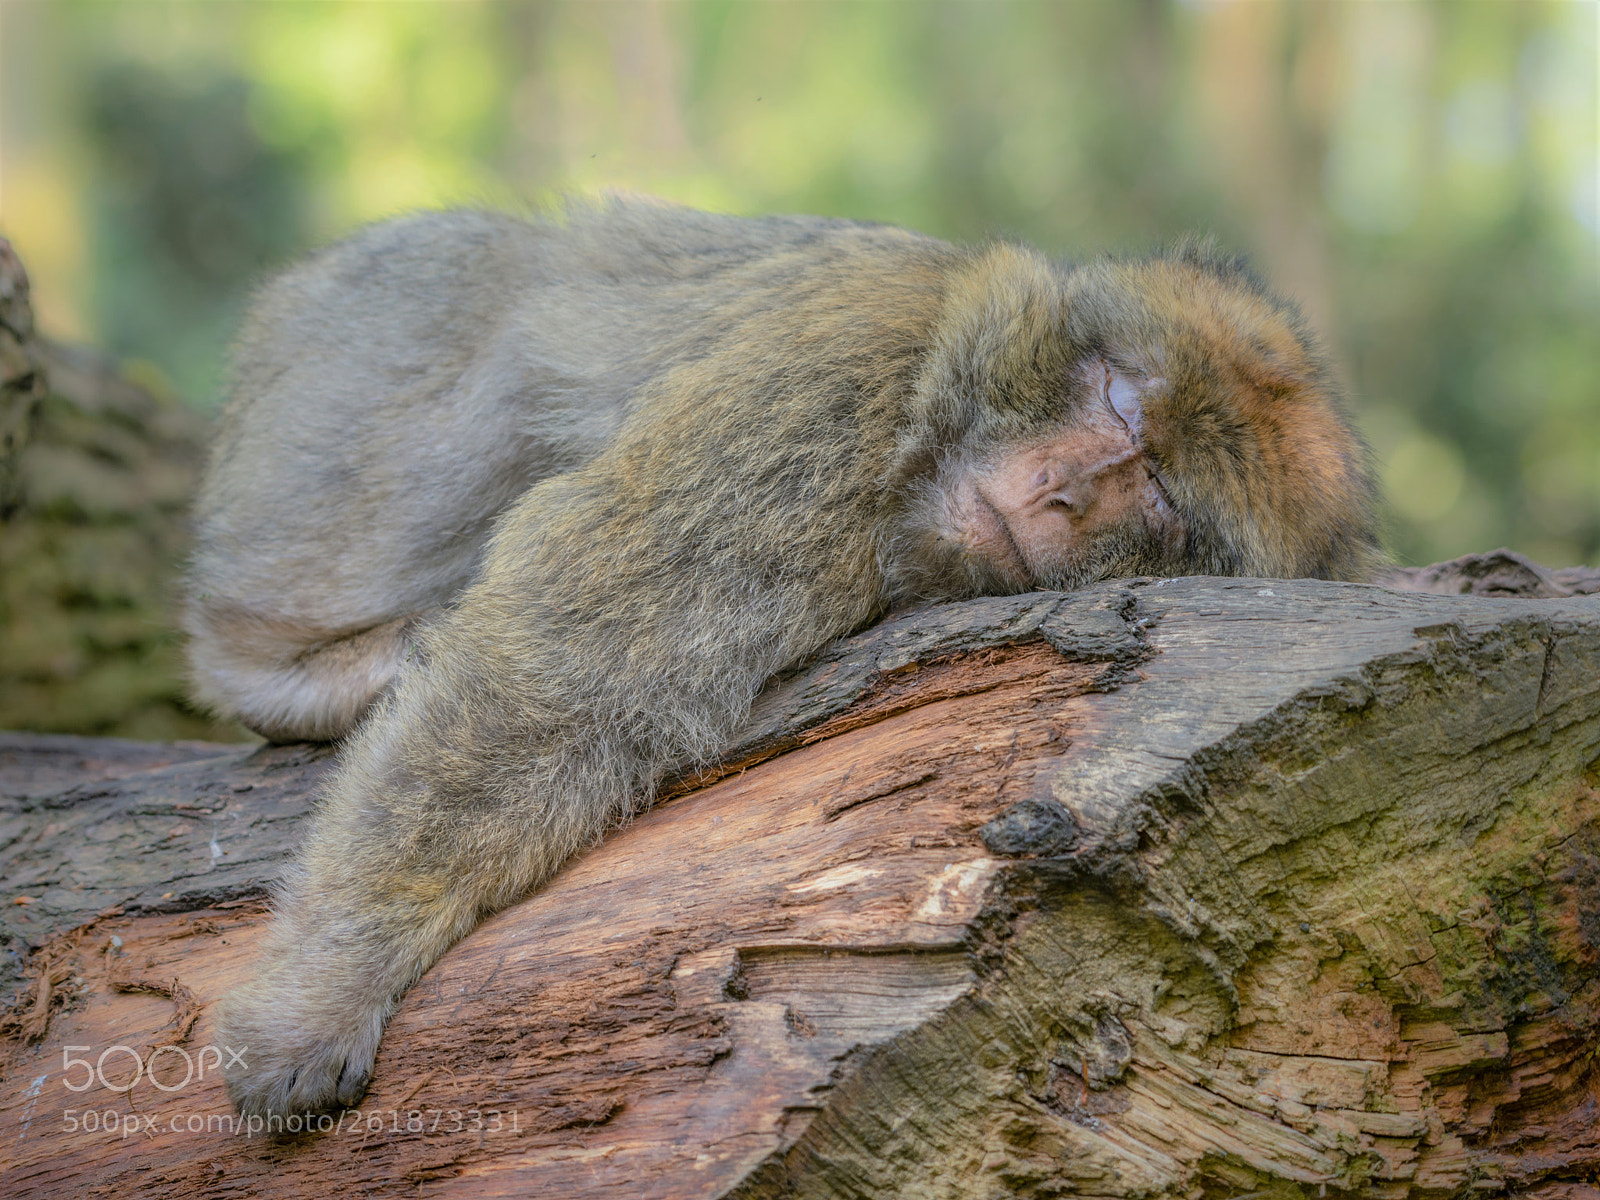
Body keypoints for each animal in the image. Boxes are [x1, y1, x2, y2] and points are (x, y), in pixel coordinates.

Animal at [187, 196, 1382, 1117]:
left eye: (1163, 495)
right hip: (349, 361)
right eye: (1119, 399)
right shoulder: (838, 391)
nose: (1069, 490)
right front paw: (322, 990)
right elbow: (563, 667)